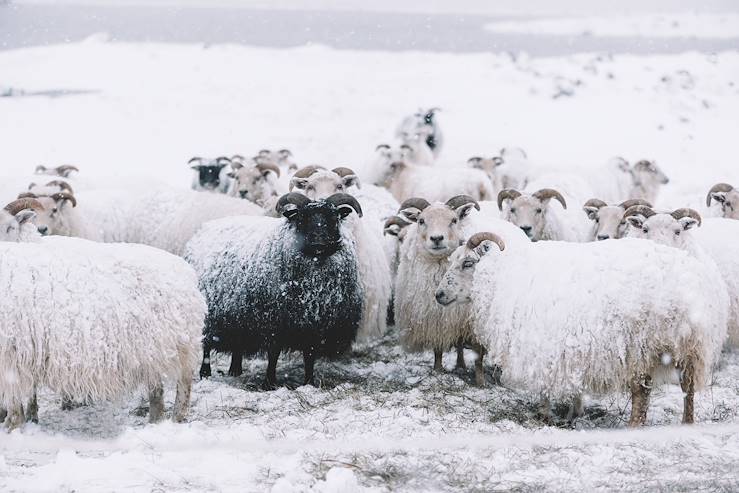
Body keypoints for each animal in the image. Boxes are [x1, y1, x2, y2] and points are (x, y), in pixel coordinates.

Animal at [0, 206, 205, 428]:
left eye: (10, 227)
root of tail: (186, 269)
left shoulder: (11, 354)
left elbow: (14, 401)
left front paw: (13, 425)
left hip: (181, 344)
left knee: (184, 380)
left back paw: (178, 417)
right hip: (151, 348)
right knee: (156, 387)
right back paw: (155, 420)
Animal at [186, 190, 366, 386]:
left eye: (333, 217)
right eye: (302, 218)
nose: (319, 242)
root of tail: (205, 227)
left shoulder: (314, 326)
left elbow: (309, 356)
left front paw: (309, 382)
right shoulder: (273, 321)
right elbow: (273, 354)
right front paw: (269, 382)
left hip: (238, 314)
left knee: (237, 344)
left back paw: (235, 370)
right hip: (210, 313)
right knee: (206, 345)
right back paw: (205, 373)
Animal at [436, 230, 732, 422]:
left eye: (467, 262)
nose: (438, 295)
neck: (502, 276)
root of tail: (699, 280)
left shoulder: (544, 344)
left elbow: (546, 383)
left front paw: (546, 413)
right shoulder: (571, 349)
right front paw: (573, 411)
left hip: (643, 346)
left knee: (643, 393)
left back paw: (634, 425)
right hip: (687, 349)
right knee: (687, 391)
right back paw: (686, 423)